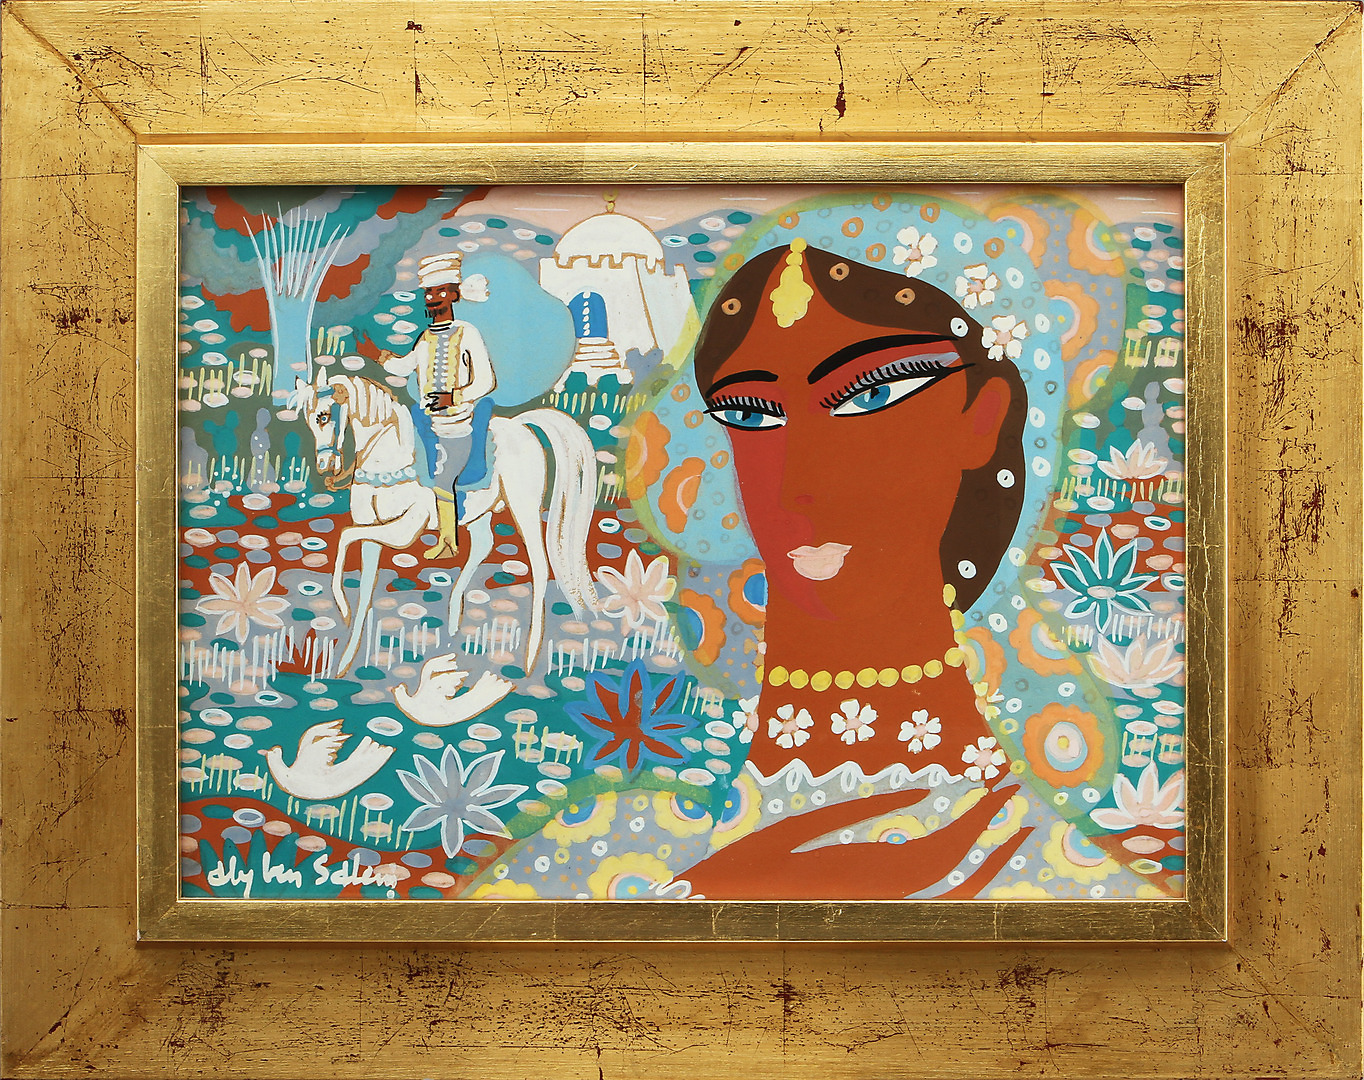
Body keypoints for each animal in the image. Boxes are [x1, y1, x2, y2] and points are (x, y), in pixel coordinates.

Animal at [290, 369, 598, 678]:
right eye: (309, 419)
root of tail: (519, 425)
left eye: (324, 416)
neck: (388, 454)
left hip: (524, 507)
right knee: (483, 545)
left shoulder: (405, 529)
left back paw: (530, 655)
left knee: (539, 566)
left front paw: (341, 607)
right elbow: (364, 586)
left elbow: (344, 536)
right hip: (479, 513)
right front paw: (344, 659)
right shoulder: (370, 527)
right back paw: (453, 623)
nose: (324, 465)